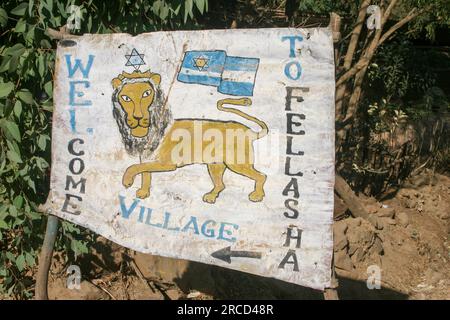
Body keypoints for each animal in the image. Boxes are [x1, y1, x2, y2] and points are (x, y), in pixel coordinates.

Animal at [111, 69, 268, 202]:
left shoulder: (166, 163)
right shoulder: (146, 158)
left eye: (146, 93)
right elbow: (145, 173)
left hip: (237, 163)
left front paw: (127, 180)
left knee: (262, 176)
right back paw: (210, 197)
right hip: (215, 165)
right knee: (221, 185)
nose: (137, 117)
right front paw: (143, 193)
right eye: (125, 97)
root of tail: (249, 131)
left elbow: (134, 167)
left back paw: (257, 196)